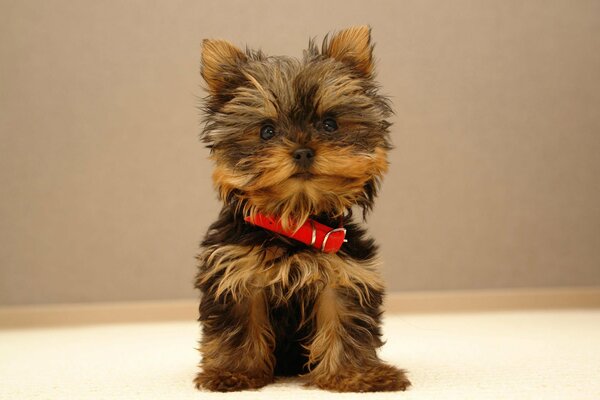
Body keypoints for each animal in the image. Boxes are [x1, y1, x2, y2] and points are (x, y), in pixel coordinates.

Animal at [195, 25, 410, 394]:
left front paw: (358, 375)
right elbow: (239, 323)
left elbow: (345, 323)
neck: (296, 221)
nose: (303, 150)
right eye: (266, 131)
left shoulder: (345, 274)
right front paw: (234, 372)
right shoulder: (236, 273)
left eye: (329, 124)